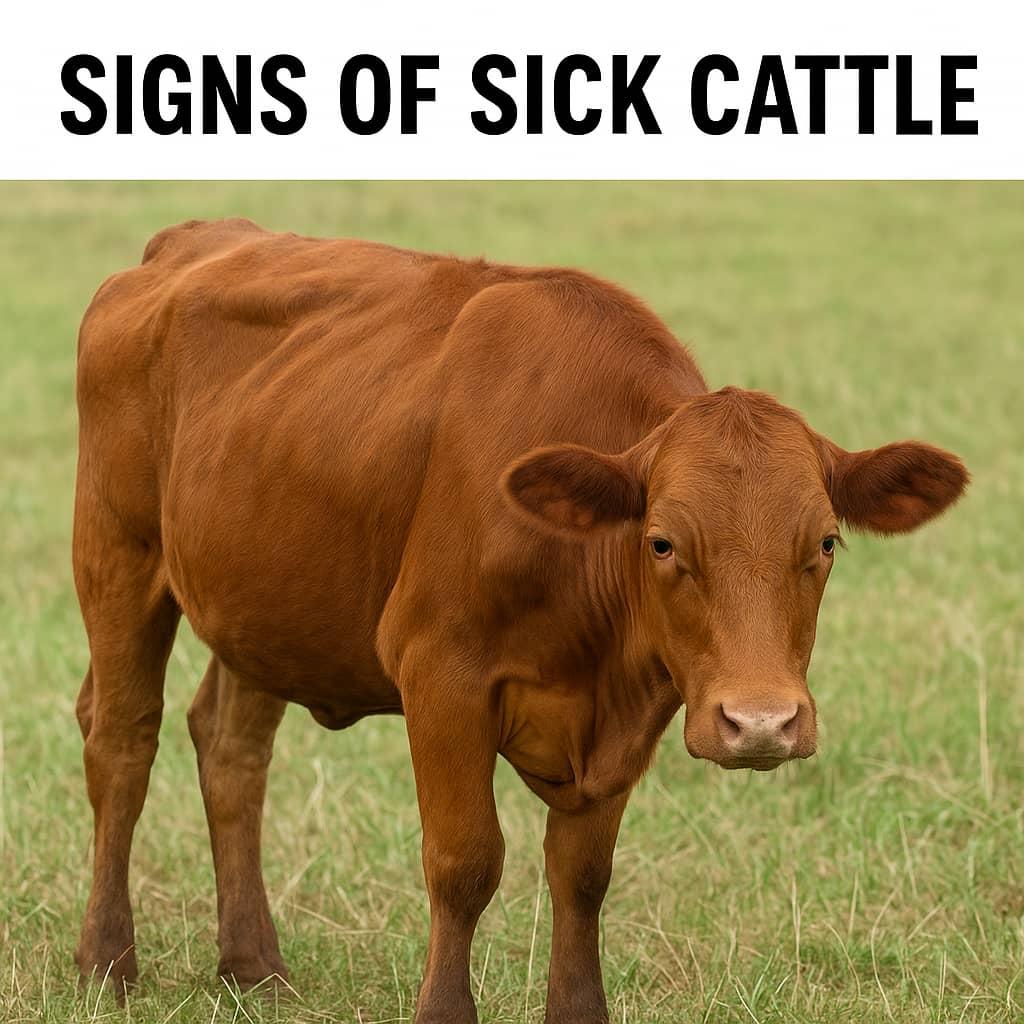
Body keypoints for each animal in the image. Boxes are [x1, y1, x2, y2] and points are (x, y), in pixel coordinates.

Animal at [72, 218, 967, 1023]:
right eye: (662, 542)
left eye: (825, 542)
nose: (760, 724)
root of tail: (189, 240)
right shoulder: (441, 675)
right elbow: (465, 862)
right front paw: (443, 1011)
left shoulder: (629, 719)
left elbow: (582, 876)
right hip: (118, 554)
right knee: (122, 739)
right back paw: (106, 962)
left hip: (264, 607)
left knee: (231, 750)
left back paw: (253, 967)